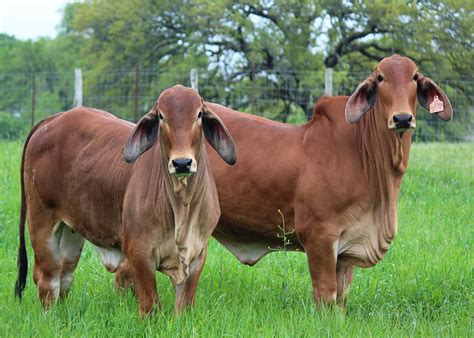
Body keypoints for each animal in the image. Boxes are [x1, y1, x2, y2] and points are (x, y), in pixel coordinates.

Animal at [14, 86, 237, 316]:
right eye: (161, 116)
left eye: (199, 114)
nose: (182, 162)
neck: (181, 207)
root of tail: (53, 118)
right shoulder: (139, 253)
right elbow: (150, 307)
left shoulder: (197, 254)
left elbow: (183, 307)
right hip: (41, 220)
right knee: (47, 277)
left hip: (71, 231)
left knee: (64, 275)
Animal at [204, 54, 452, 306]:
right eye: (380, 77)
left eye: (414, 77)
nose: (402, 118)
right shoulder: (319, 235)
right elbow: (327, 294)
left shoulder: (347, 247)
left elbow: (342, 297)